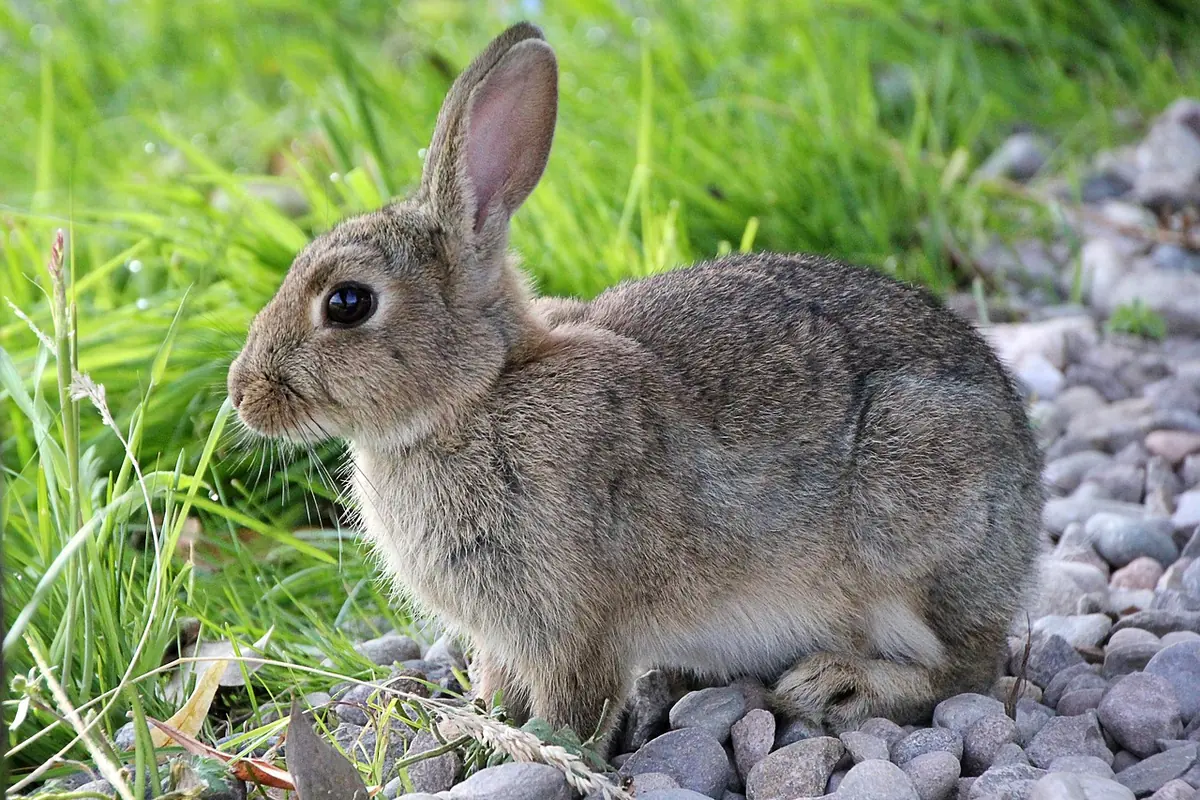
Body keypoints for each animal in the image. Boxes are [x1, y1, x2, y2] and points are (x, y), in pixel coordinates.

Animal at [227, 22, 1042, 742]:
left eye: (348, 303)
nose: (243, 392)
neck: (478, 395)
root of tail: (1028, 501)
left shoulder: (572, 619)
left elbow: (574, 700)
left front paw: (537, 747)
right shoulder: (505, 632)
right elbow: (500, 680)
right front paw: (479, 722)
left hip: (913, 534)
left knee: (967, 668)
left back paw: (838, 684)